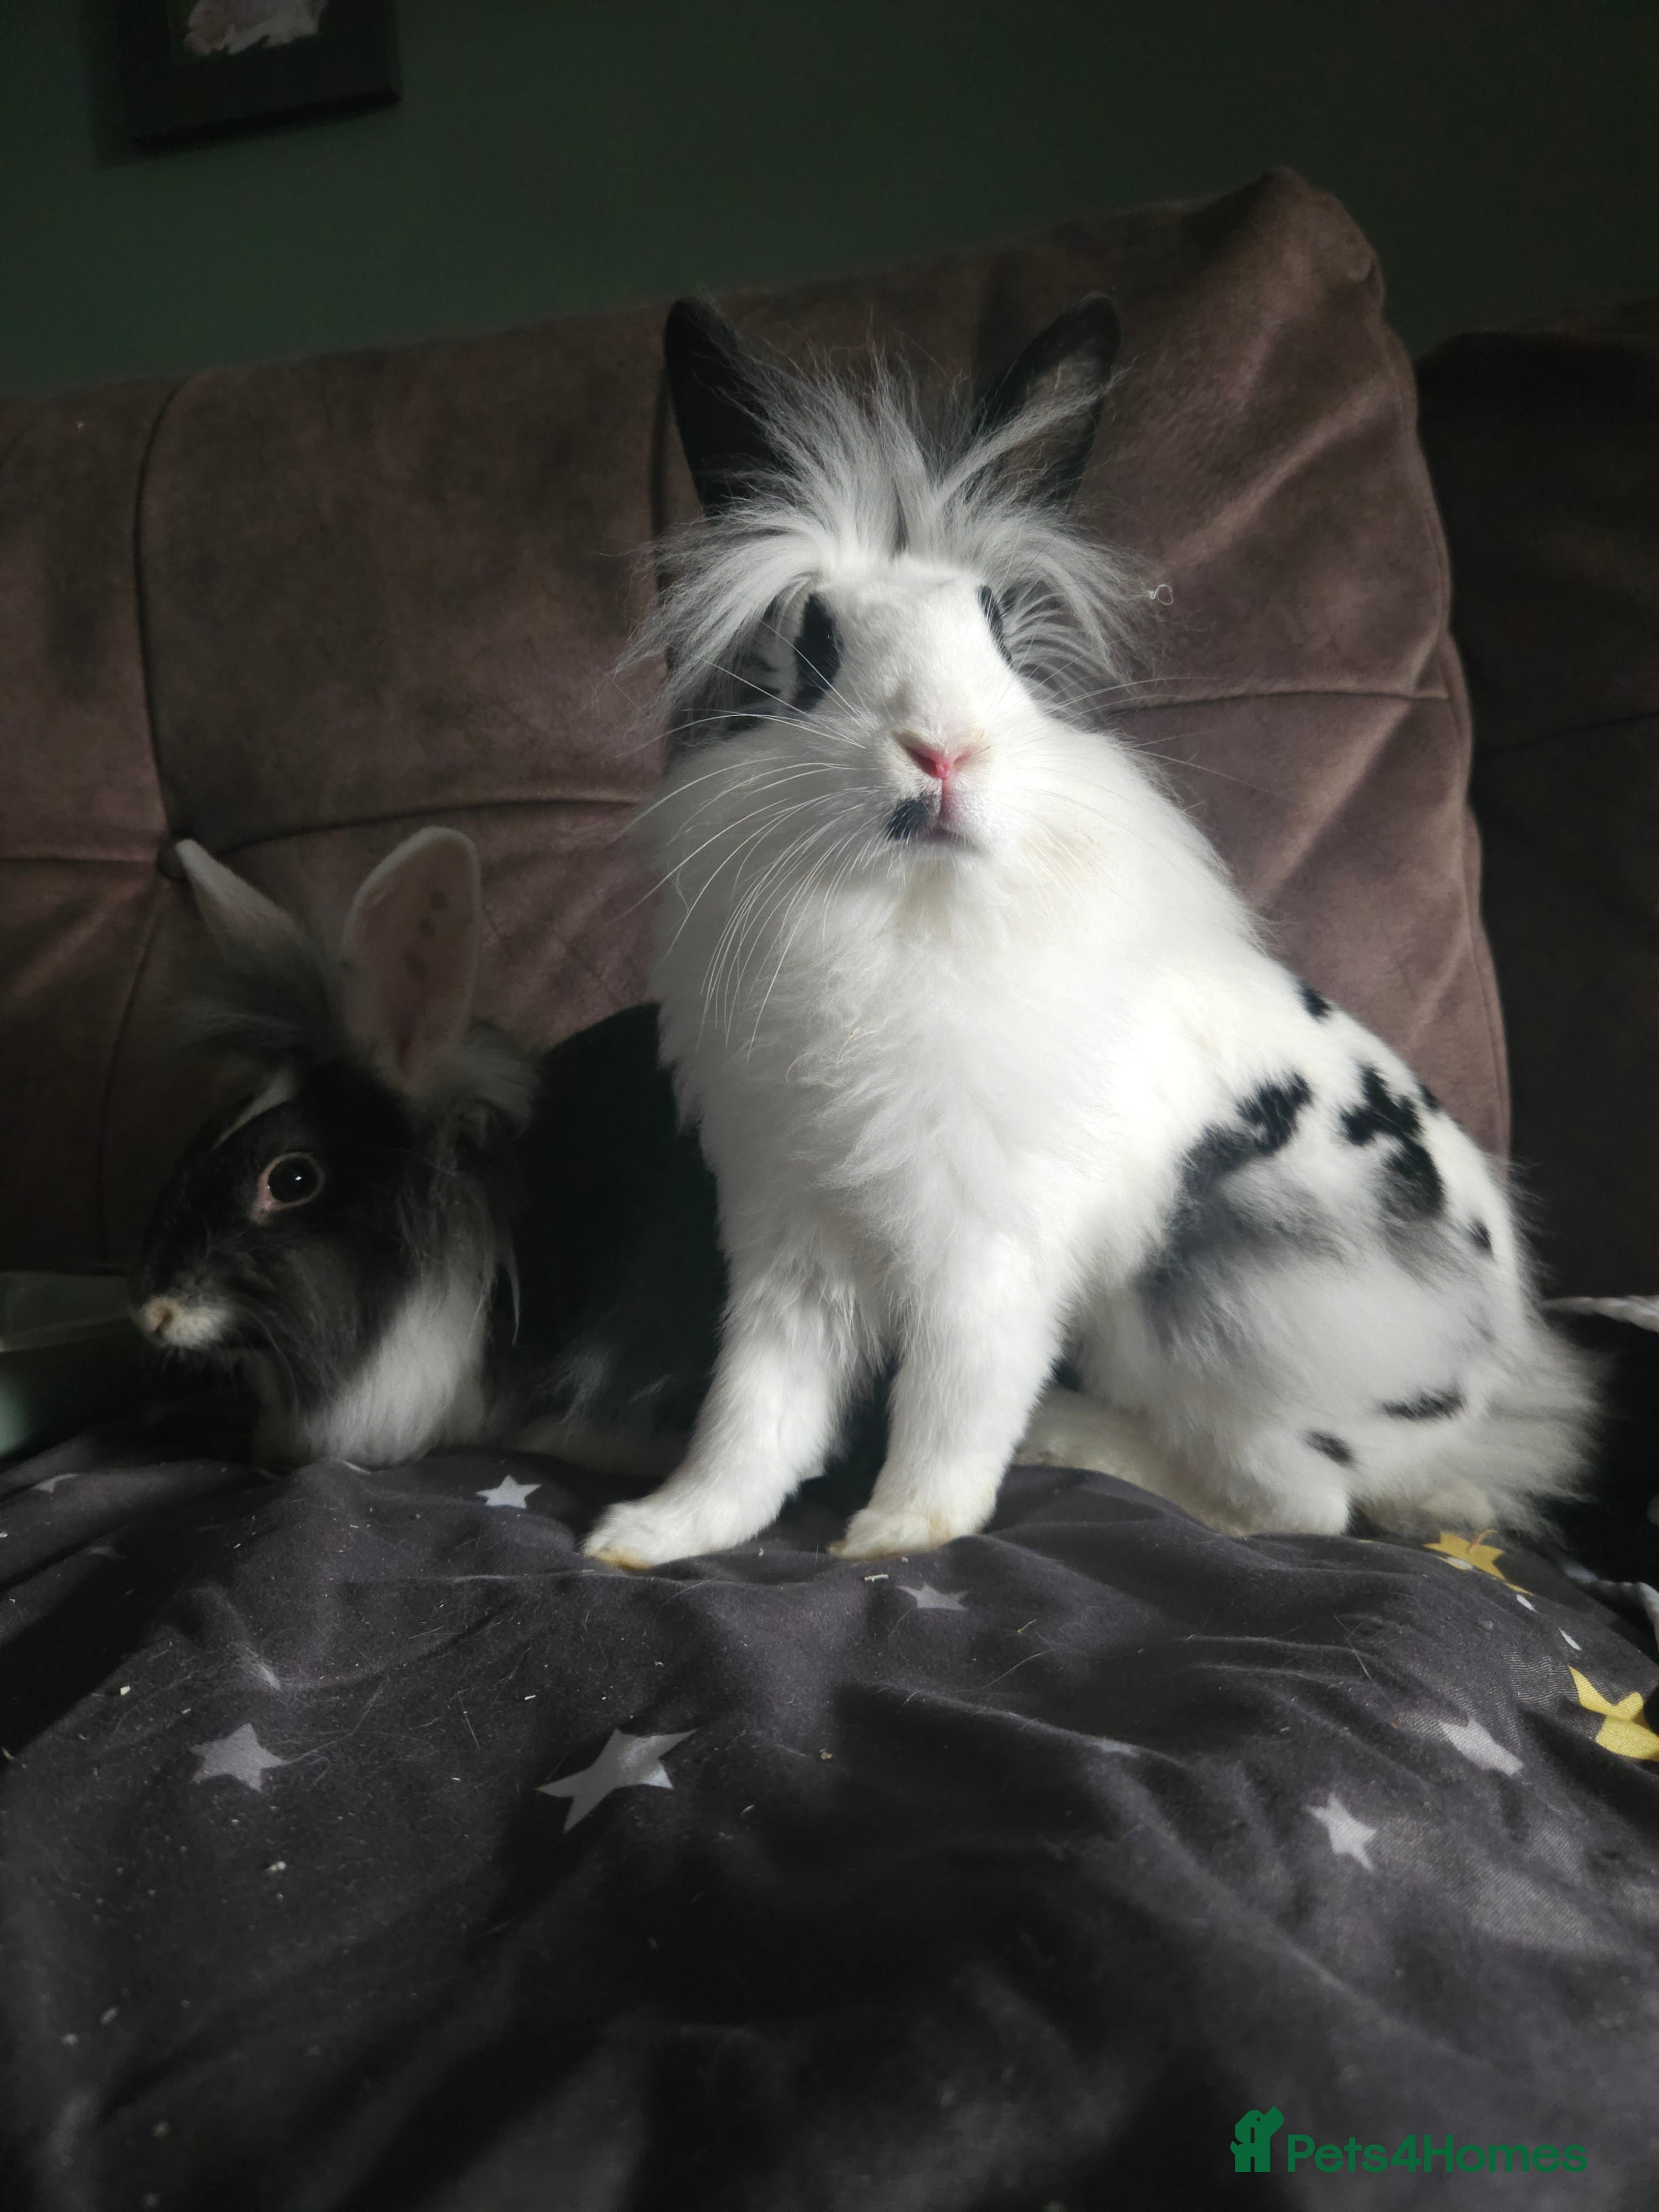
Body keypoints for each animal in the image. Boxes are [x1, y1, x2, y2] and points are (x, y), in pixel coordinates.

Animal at [581, 293, 1600, 1570]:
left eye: (1004, 643)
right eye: (813, 649)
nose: (942, 750)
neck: (905, 911)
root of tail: (1486, 1391)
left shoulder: (989, 1252)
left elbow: (955, 1398)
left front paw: (894, 1536)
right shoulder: (791, 1234)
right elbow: (756, 1410)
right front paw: (655, 1533)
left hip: (1218, 1307)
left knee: (1295, 1502)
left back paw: (1078, 1438)